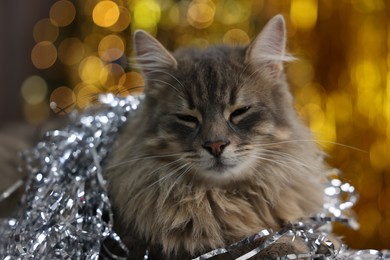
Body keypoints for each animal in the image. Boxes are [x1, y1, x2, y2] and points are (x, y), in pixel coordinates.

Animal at [106, 15, 326, 258]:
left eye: (240, 111)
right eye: (187, 118)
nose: (216, 145)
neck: (226, 198)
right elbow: (241, 245)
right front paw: (288, 245)